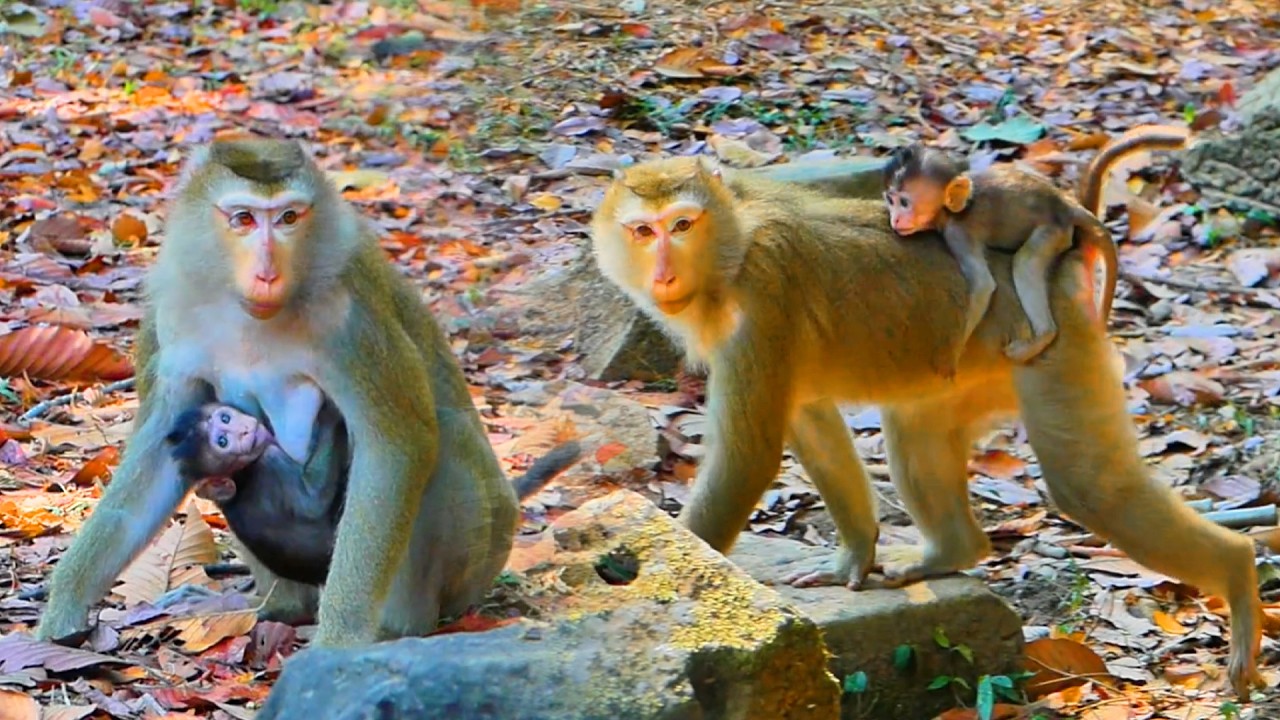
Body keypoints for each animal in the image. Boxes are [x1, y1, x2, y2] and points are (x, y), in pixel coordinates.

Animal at [166, 401, 581, 589]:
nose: (241, 431)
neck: (244, 474)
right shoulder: (268, 467)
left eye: (224, 419)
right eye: (221, 443)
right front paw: (330, 414)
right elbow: (315, 500)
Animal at [881, 143, 1119, 366]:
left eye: (905, 203)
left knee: (1025, 261)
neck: (949, 210)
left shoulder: (958, 233)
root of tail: (1064, 203)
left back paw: (1043, 335)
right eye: (891, 201)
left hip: (1053, 230)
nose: (895, 219)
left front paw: (950, 354)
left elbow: (983, 285)